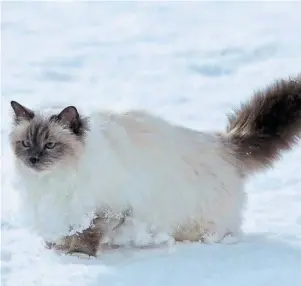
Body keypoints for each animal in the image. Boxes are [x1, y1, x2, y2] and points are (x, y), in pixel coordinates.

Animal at [8, 74, 298, 256]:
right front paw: (57, 249)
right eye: (26, 143)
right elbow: (62, 234)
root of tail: (223, 143)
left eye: (50, 145)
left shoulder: (106, 210)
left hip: (199, 225)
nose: (33, 159)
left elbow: (86, 235)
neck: (54, 180)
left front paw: (78, 256)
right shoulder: (62, 211)